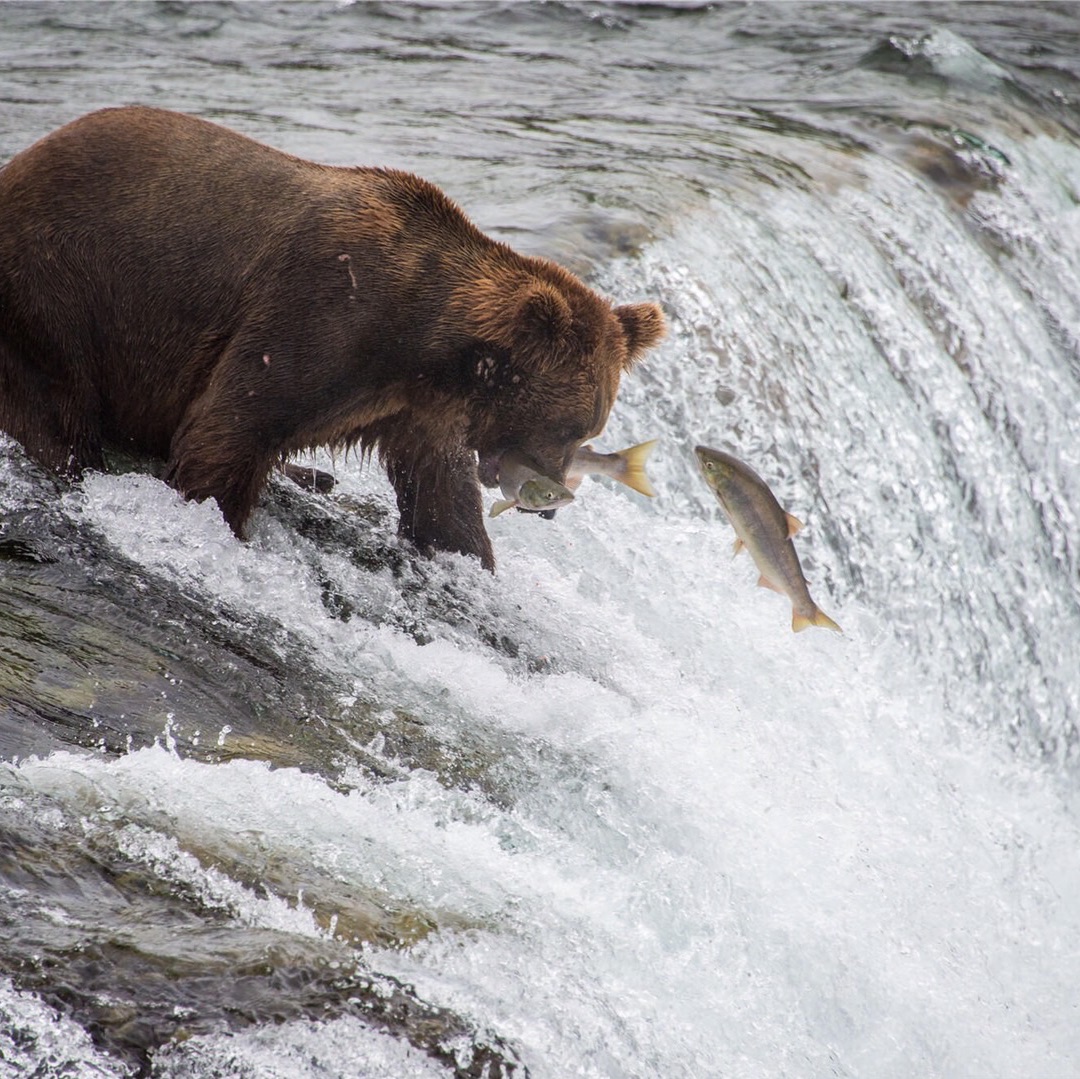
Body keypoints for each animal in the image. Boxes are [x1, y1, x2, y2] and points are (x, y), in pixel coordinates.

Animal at [0, 105, 660, 570]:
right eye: (567, 425)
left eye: (587, 429)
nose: (550, 503)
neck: (425, 344)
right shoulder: (322, 312)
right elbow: (228, 430)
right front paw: (214, 524)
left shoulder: (416, 410)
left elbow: (441, 494)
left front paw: (469, 555)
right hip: (57, 285)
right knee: (57, 405)